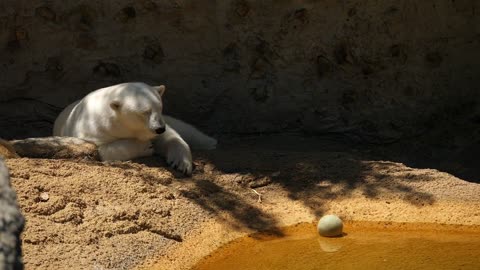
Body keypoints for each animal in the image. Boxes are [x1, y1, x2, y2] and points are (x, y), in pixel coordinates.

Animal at [53, 82, 217, 175]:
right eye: (144, 112)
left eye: (160, 107)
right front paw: (146, 146)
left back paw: (211, 142)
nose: (159, 128)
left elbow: (170, 137)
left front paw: (181, 163)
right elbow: (101, 151)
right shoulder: (94, 131)